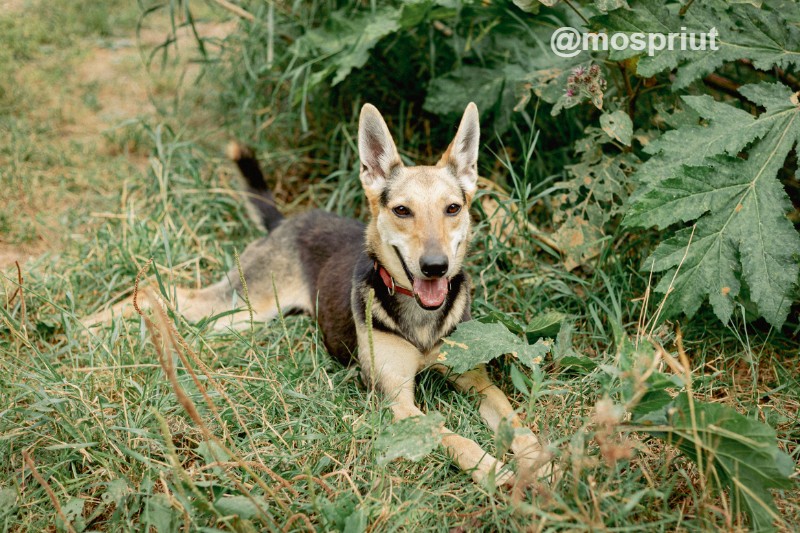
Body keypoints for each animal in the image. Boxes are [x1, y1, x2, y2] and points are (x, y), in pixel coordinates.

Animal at [84, 103, 552, 486]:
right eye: (402, 210)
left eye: (453, 208)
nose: (434, 267)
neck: (418, 315)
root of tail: (283, 222)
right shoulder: (397, 400)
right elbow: (450, 435)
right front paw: (492, 468)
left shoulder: (474, 378)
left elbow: (513, 416)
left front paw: (540, 460)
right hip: (241, 306)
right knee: (157, 292)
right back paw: (91, 325)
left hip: (239, 316)